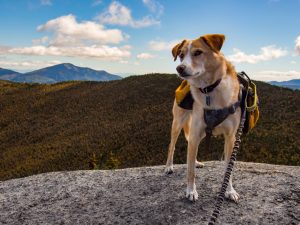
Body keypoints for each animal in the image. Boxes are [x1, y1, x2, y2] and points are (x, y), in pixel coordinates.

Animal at [165, 33, 243, 202]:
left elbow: (228, 169)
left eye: (198, 52)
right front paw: (191, 191)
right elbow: (190, 172)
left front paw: (229, 190)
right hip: (178, 123)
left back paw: (196, 161)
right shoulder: (194, 132)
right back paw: (168, 166)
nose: (180, 68)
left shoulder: (230, 137)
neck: (209, 90)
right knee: (172, 146)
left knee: (191, 152)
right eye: (181, 55)